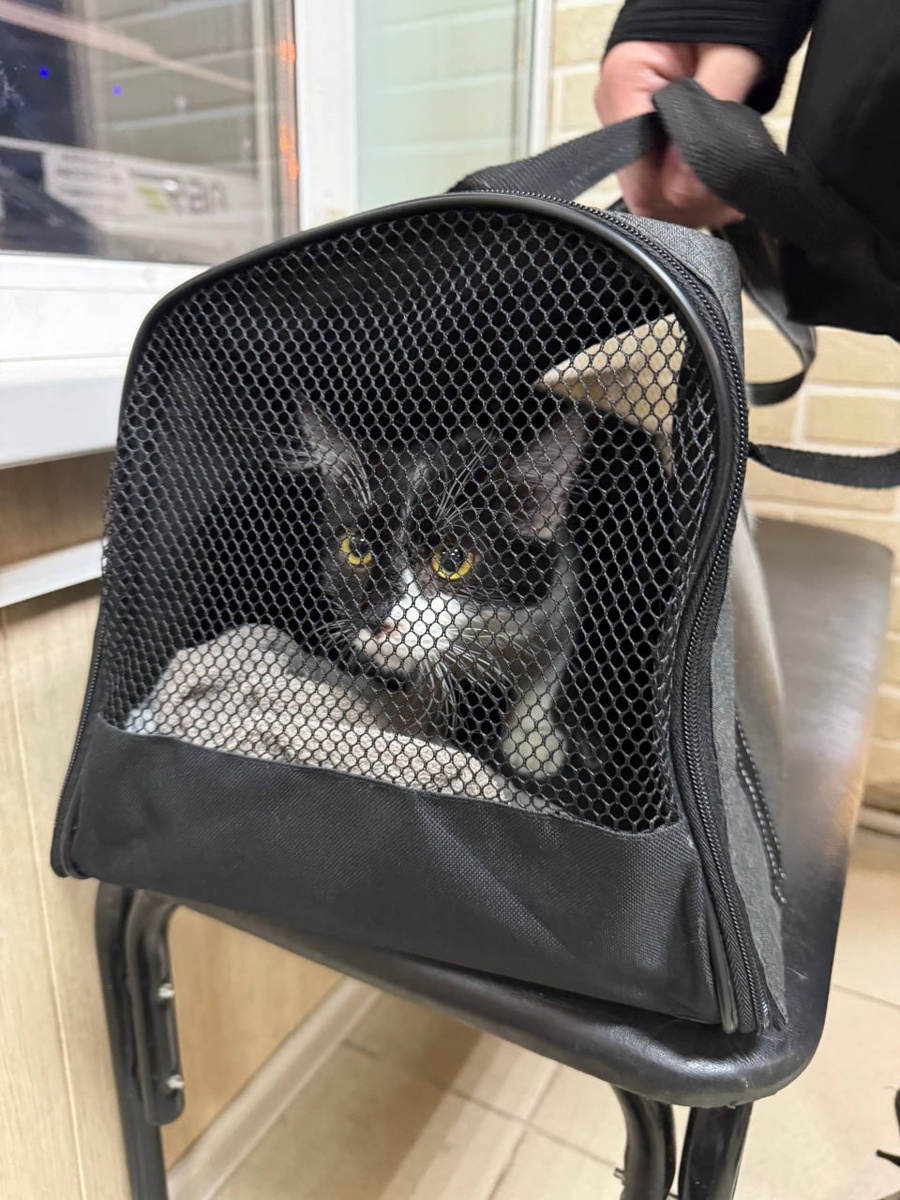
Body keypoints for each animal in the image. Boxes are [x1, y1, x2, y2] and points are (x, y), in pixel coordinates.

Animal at [287, 395, 593, 782]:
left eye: (450, 561)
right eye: (357, 548)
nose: (375, 618)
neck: (478, 638)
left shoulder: (558, 600)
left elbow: (546, 675)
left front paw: (533, 741)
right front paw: (409, 720)